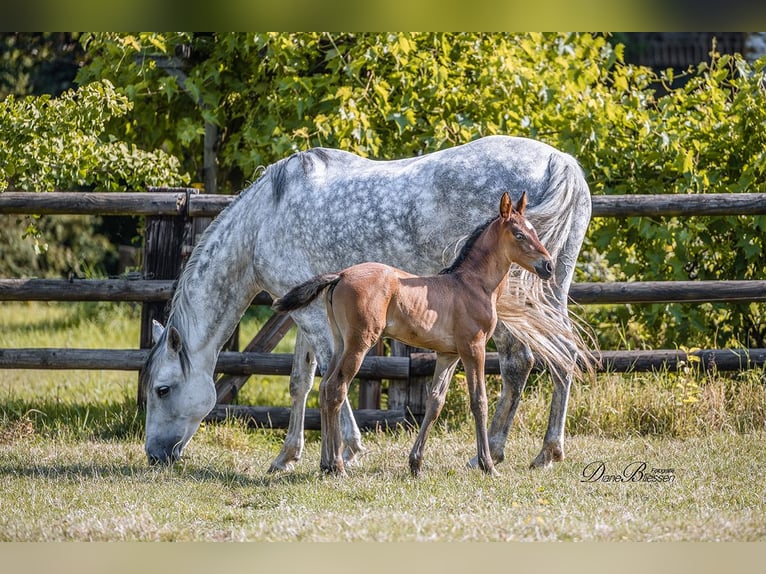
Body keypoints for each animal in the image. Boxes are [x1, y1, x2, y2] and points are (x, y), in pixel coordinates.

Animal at [274, 194, 560, 476]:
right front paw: (487, 464)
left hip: (340, 342)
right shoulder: (473, 348)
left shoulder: (448, 355)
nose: (548, 266)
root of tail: (341, 274)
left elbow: (435, 403)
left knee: (324, 388)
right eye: (519, 234)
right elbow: (479, 401)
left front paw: (416, 463)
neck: (473, 285)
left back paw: (325, 464)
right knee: (336, 388)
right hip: (359, 343)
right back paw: (337, 465)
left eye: (534, 231)